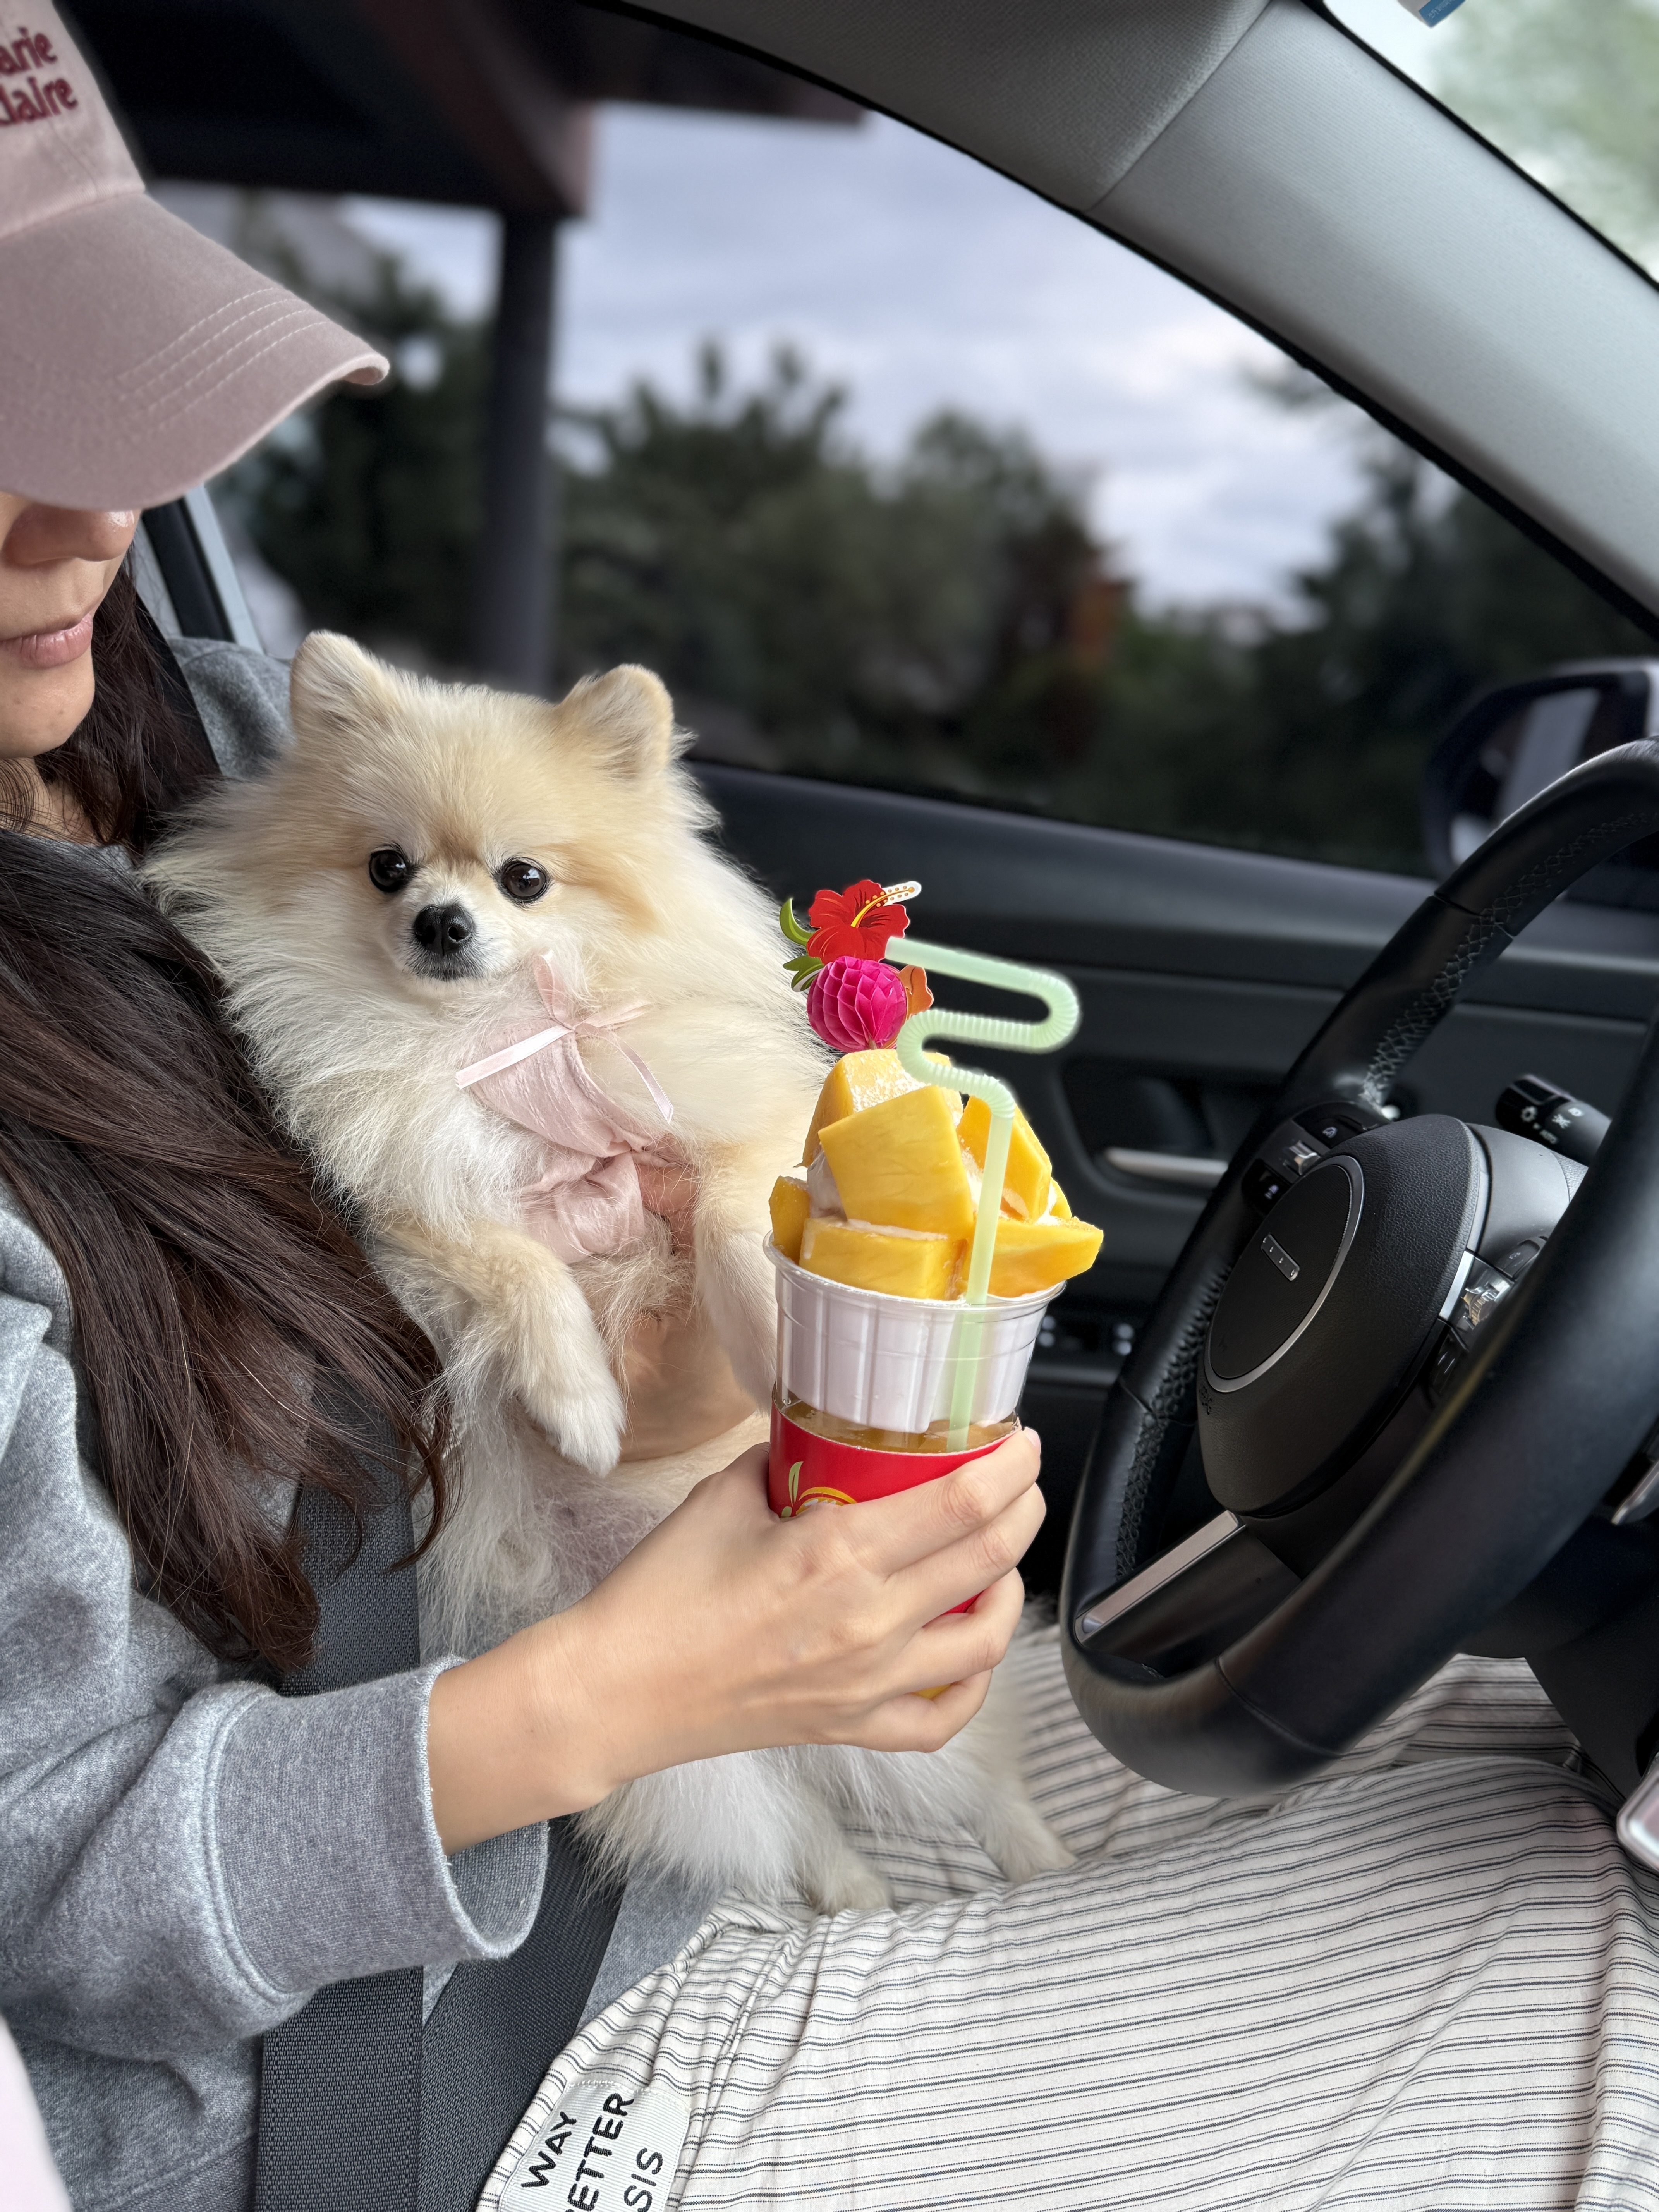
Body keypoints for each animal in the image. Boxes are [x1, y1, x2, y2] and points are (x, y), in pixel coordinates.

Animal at [148, 633, 1073, 1910]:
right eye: (387, 868)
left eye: (525, 879)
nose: (440, 921)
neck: (499, 1045)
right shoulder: (411, 1210)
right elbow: (517, 1268)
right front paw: (580, 1404)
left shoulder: (724, 1132)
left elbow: (733, 1216)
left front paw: (772, 1332)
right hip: (687, 1764)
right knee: (791, 1813)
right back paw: (853, 1883)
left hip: (903, 1730)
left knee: (967, 1770)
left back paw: (1036, 1850)